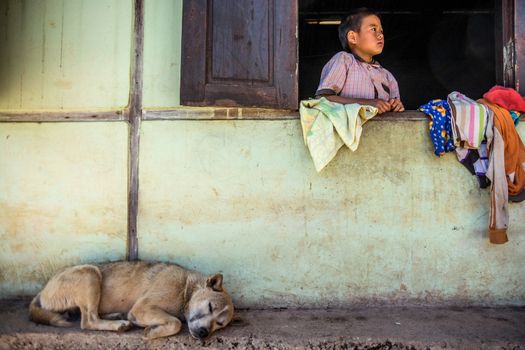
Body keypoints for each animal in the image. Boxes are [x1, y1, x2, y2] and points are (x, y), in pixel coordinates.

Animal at [28, 260, 232, 340]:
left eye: (220, 324)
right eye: (210, 307)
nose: (204, 333)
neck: (186, 290)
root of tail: (43, 289)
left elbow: (175, 321)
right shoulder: (142, 307)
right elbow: (175, 323)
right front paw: (153, 332)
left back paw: (116, 317)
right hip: (90, 273)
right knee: (88, 320)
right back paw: (118, 324)